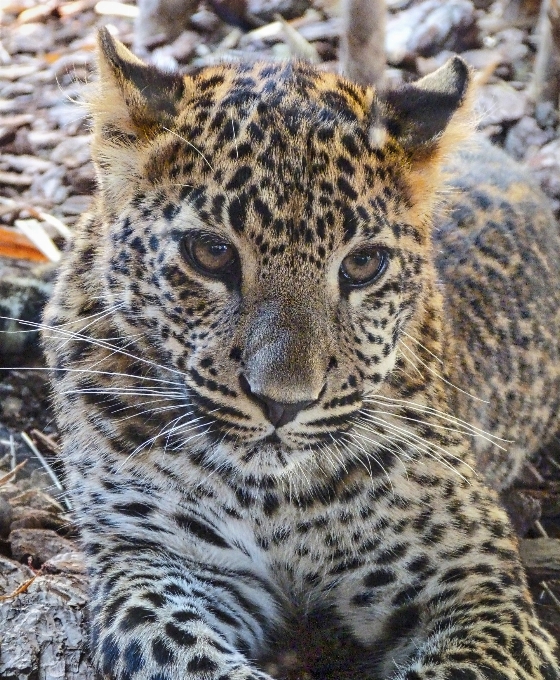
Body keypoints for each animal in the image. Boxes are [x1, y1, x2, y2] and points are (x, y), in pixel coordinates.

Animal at [41, 21, 560, 680]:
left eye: (363, 264)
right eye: (211, 253)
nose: (283, 404)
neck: (274, 498)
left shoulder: (477, 587)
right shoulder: (153, 557)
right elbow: (182, 653)